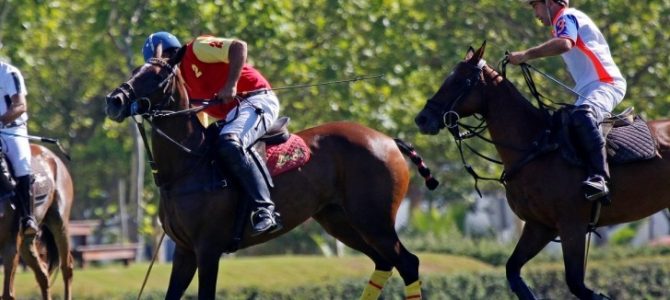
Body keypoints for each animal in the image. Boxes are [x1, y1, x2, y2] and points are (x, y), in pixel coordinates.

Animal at [0, 144, 74, 300]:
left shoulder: (10, 243)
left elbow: (8, 293)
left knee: (67, 268)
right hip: (26, 241)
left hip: (60, 224)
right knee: (43, 274)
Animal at [105, 45, 438, 300]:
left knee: (408, 263)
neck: (187, 166)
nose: (114, 101)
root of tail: (389, 140)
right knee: (384, 263)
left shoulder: (208, 249)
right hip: (340, 221)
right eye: (135, 69)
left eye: (156, 75)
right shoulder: (185, 251)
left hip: (374, 220)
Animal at [414, 42, 670, 300]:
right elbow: (513, 271)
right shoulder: (539, 226)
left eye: (460, 81)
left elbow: (577, 284)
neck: (536, 146)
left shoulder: (572, 225)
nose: (422, 119)